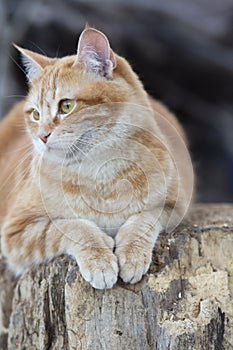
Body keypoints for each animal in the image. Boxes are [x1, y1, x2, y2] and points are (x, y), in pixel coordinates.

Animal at [0, 28, 193, 290]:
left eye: (66, 106)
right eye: (36, 114)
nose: (42, 136)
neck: (101, 175)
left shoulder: (173, 207)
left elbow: (143, 220)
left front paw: (132, 254)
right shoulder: (15, 234)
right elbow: (70, 226)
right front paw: (99, 260)